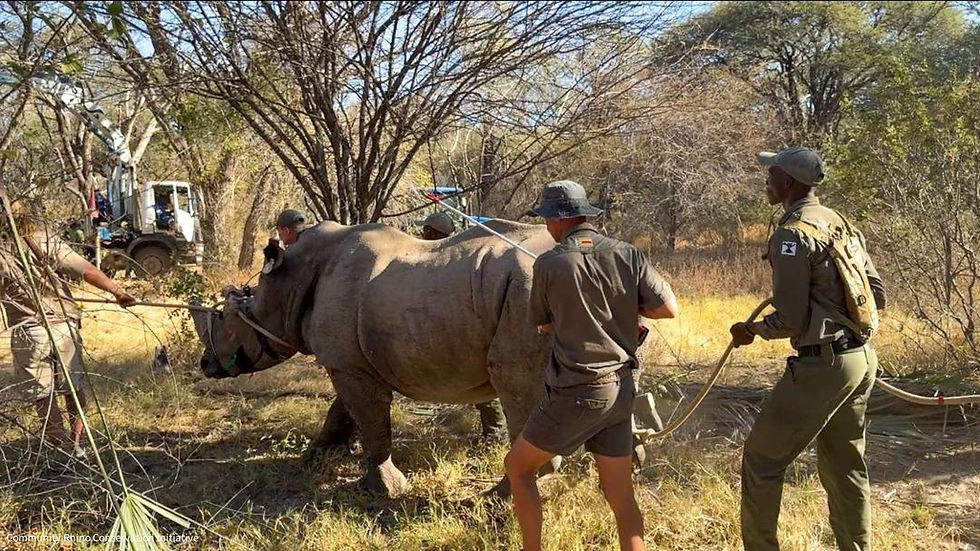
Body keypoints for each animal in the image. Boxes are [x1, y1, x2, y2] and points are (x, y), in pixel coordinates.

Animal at [191, 219, 565, 497]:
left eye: (228, 322)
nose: (205, 365)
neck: (289, 283)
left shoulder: (349, 364)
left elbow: (370, 419)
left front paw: (383, 490)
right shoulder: (348, 361)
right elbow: (343, 411)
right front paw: (316, 457)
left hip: (530, 293)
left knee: (514, 381)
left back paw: (498, 498)